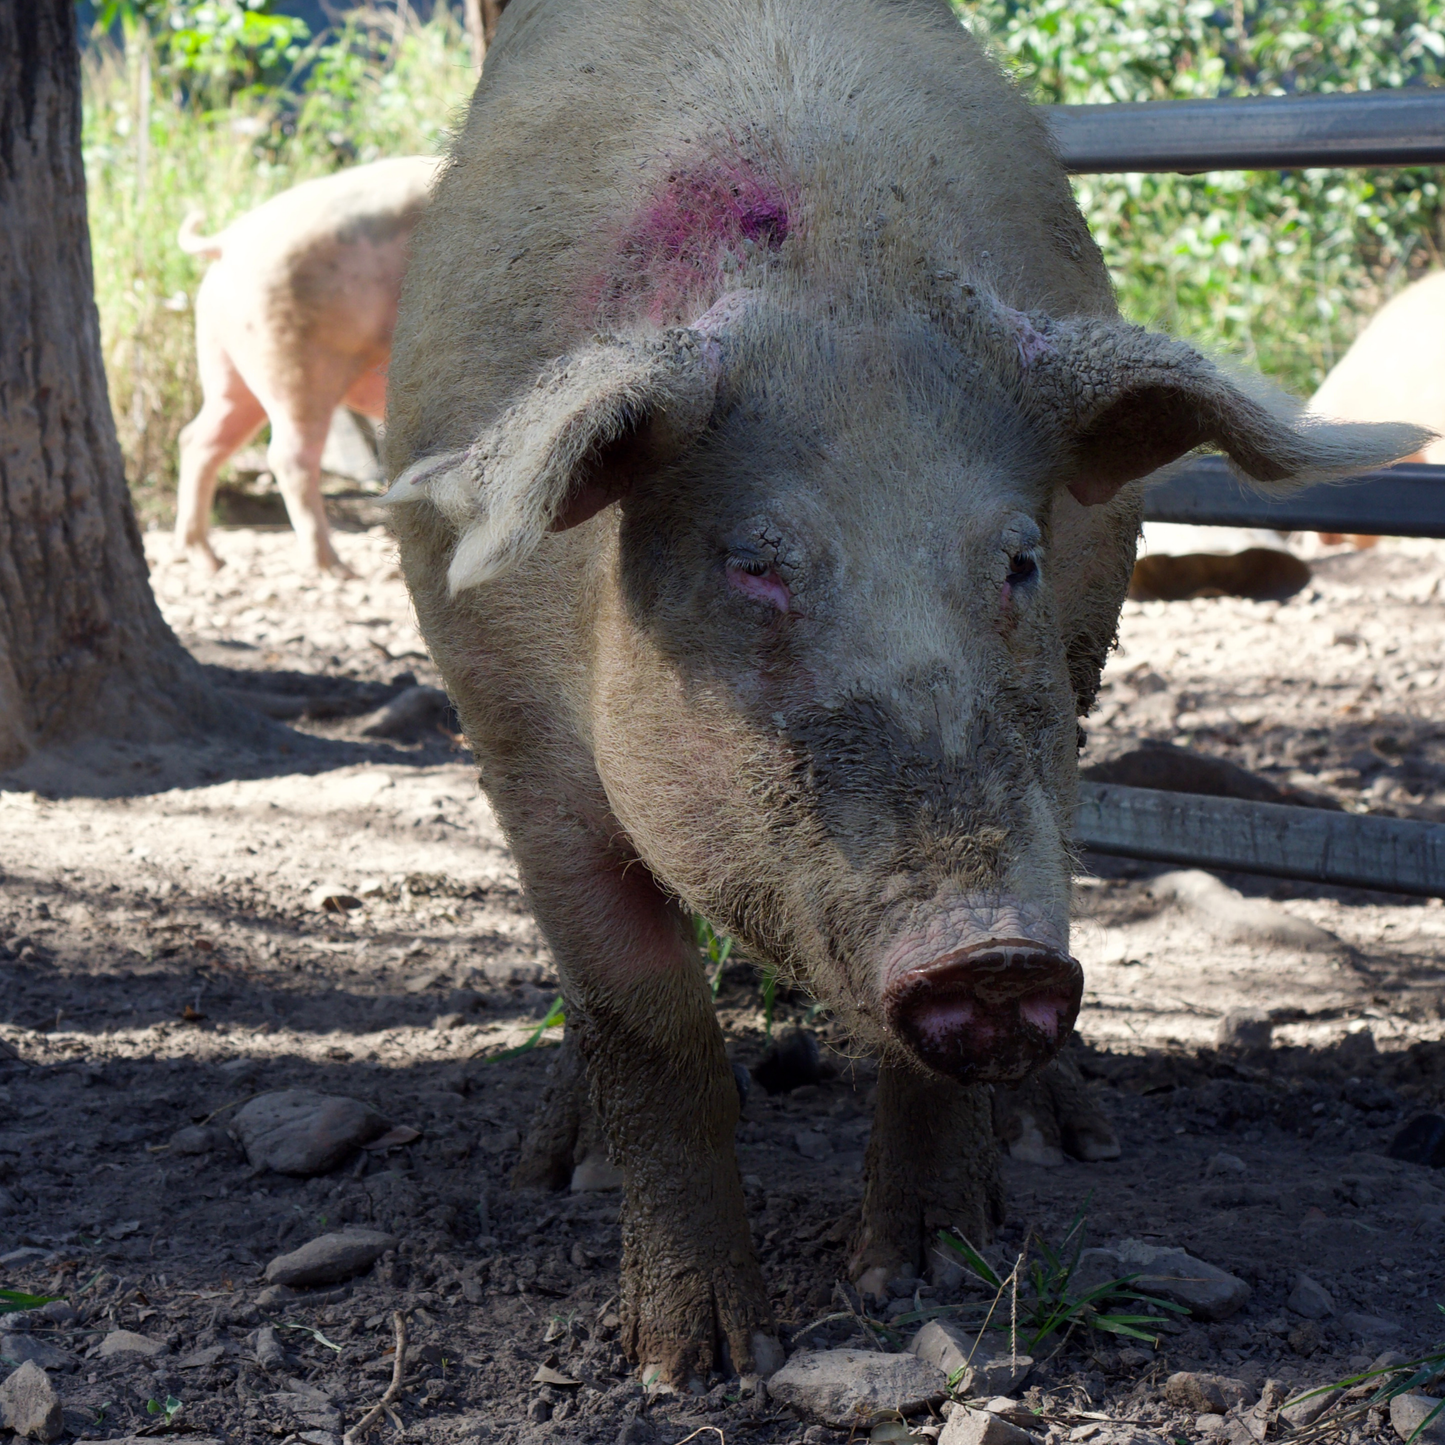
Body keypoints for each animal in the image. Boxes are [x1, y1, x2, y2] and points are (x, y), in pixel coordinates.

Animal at [173, 155, 440, 577]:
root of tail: (231, 238)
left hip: (224, 361)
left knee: (199, 438)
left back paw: (209, 560)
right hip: (297, 356)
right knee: (289, 456)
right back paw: (336, 568)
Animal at [380, 0, 1426, 1390]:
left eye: (1016, 558)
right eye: (755, 561)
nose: (987, 951)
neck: (839, 274)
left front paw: (923, 1280)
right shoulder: (512, 736)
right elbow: (646, 1021)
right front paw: (695, 1362)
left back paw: (1061, 1144)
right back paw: (563, 1168)